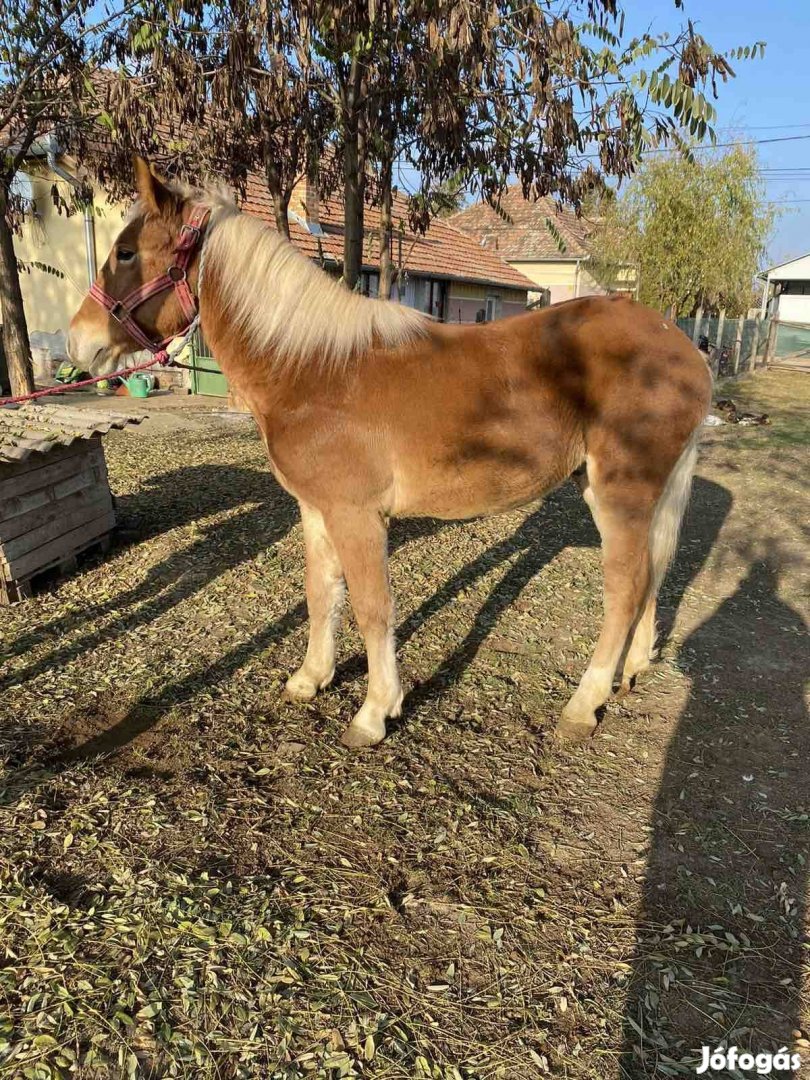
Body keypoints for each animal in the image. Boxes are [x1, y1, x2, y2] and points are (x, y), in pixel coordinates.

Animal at [71, 159, 717, 747]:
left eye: (126, 252)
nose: (79, 341)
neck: (311, 366)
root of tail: (682, 347)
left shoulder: (358, 516)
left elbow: (372, 608)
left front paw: (375, 711)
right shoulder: (317, 510)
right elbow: (321, 594)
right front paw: (312, 678)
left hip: (620, 493)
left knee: (626, 587)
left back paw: (584, 704)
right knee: (652, 574)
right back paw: (630, 671)